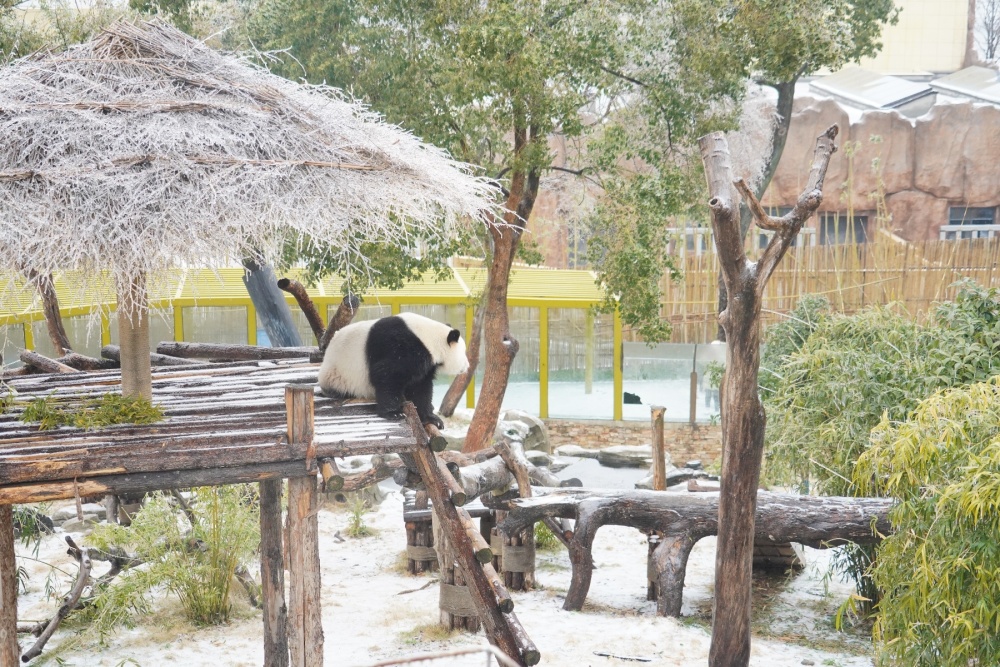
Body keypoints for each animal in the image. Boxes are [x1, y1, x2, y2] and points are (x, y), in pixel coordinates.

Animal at [316, 312, 468, 428]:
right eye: (464, 353)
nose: (467, 366)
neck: (428, 338)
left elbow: (421, 388)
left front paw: (432, 418)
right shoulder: (401, 346)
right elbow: (386, 375)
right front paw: (393, 413)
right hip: (338, 375)